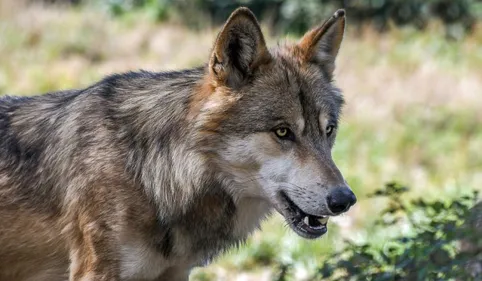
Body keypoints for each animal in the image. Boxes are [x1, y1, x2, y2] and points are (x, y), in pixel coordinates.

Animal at [0, 6, 354, 280]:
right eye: (282, 132)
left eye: (328, 130)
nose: (345, 199)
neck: (150, 173)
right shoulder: (95, 271)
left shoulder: (176, 272)